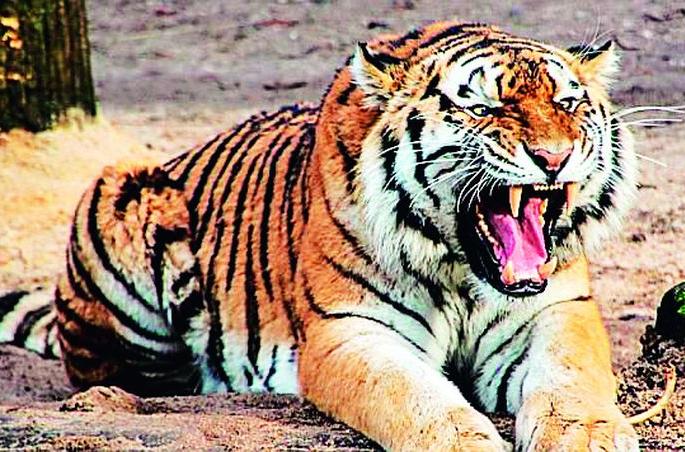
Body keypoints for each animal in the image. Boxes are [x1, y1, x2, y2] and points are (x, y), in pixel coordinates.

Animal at [0, 21, 641, 450]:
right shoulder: (349, 330)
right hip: (121, 194)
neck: (464, 272)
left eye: (567, 103)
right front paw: (464, 440)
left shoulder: (559, 309)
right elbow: (412, 395)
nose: (553, 157)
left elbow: (573, 377)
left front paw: (589, 434)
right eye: (484, 108)